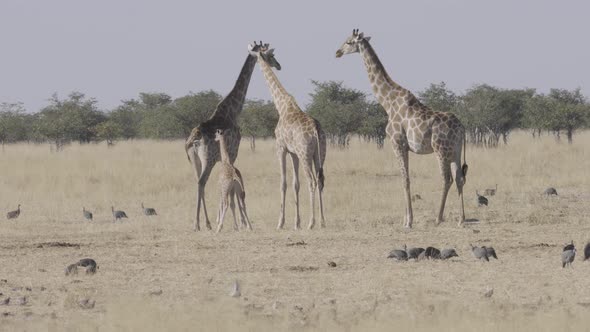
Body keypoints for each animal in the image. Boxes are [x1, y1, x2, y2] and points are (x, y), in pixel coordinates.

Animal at [185, 43, 260, 231]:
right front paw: (239, 222)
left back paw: (204, 223)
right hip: (208, 160)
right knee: (202, 183)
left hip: (195, 160)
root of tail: (193, 139)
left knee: (198, 183)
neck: (231, 111)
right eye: (270, 54)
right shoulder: (233, 154)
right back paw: (200, 223)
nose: (277, 64)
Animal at [247, 42, 326, 231]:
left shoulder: (281, 148)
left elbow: (283, 183)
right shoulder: (293, 153)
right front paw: (296, 223)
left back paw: (312, 223)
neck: (281, 106)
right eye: (272, 56)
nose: (279, 65)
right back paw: (322, 221)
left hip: (306, 154)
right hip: (319, 154)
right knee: (320, 180)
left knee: (312, 181)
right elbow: (295, 184)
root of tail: (315, 129)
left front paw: (281, 223)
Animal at [336, 29, 470, 227]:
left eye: (349, 42)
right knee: (460, 178)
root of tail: (462, 128)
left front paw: (408, 221)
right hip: (456, 150)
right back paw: (461, 219)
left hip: (441, 148)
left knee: (447, 178)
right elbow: (406, 179)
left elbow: (405, 179)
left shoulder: (397, 143)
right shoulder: (405, 146)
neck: (387, 102)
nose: (337, 52)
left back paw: (438, 218)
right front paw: (406, 219)